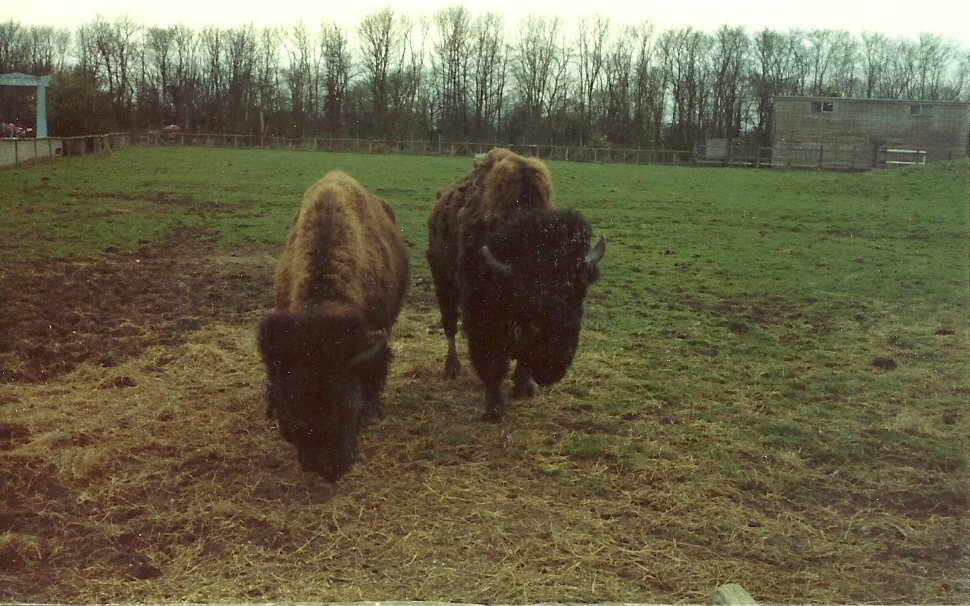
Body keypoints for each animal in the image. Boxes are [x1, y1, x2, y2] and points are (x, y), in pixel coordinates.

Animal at [426, 148, 605, 422]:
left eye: (579, 292)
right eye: (527, 300)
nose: (552, 366)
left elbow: (520, 357)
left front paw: (523, 388)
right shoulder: (482, 318)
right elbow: (493, 362)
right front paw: (494, 409)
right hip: (442, 282)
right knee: (450, 326)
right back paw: (452, 368)